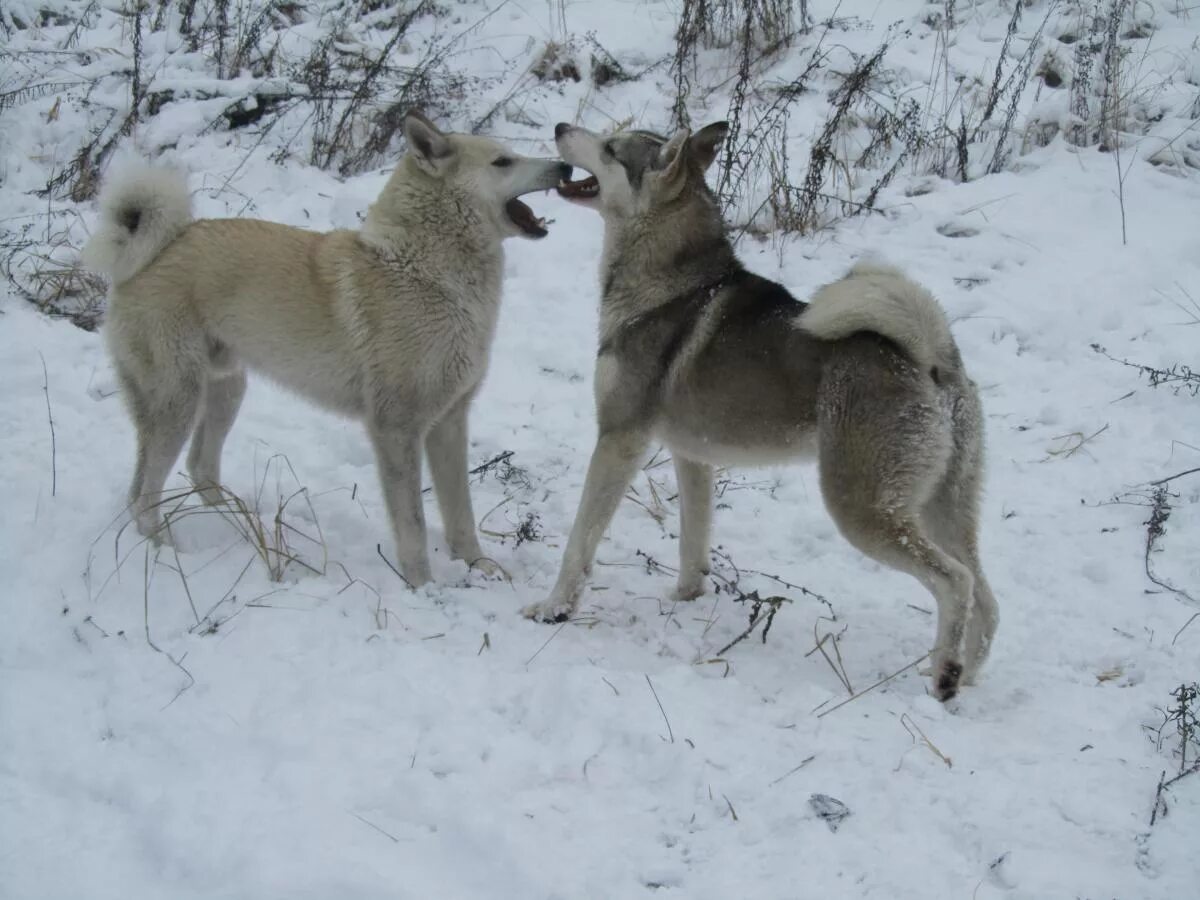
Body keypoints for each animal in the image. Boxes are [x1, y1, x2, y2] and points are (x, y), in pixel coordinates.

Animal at [84, 111, 571, 585]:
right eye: (503, 162)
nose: (565, 167)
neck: (427, 272)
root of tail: (154, 251)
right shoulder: (396, 428)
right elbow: (412, 525)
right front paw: (422, 588)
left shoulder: (450, 422)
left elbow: (461, 515)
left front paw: (479, 568)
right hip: (178, 403)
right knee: (144, 493)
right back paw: (164, 549)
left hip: (225, 390)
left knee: (196, 469)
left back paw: (238, 524)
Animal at [525, 120, 993, 700]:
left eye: (611, 148)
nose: (561, 126)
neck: (667, 284)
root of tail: (932, 357)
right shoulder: (693, 457)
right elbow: (694, 544)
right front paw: (684, 600)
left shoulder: (618, 441)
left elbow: (579, 543)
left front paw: (554, 608)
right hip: (942, 507)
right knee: (986, 596)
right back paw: (968, 676)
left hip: (865, 510)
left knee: (956, 581)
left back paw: (944, 676)